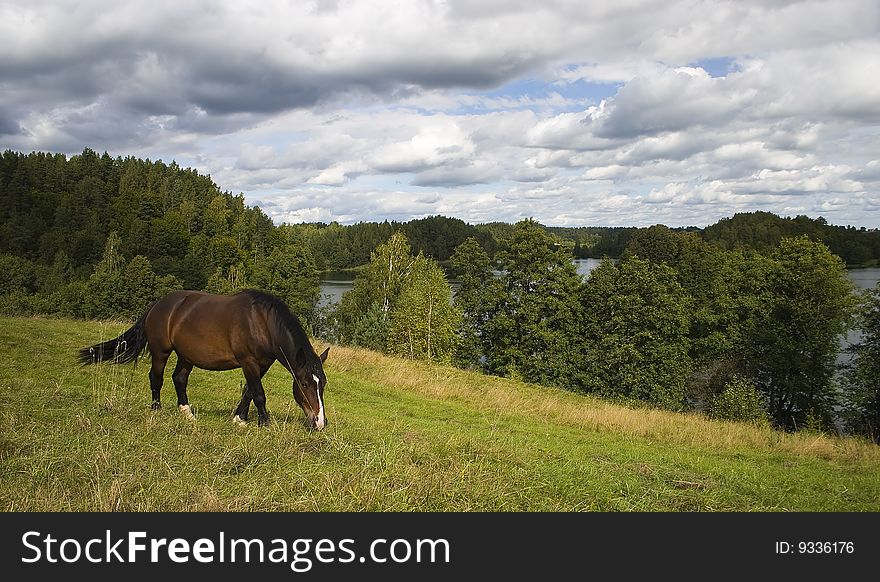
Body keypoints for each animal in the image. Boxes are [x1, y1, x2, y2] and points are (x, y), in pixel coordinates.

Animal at [78, 290, 330, 432]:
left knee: (179, 379)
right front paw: (264, 423)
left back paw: (187, 412)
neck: (262, 323)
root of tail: (156, 306)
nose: (319, 422)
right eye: (305, 384)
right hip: (161, 352)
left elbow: (248, 391)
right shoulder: (248, 362)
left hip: (186, 356)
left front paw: (239, 418)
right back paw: (156, 408)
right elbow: (258, 393)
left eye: (323, 384)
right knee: (156, 378)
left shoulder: (263, 364)